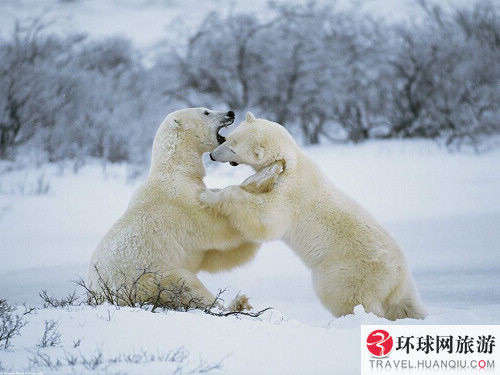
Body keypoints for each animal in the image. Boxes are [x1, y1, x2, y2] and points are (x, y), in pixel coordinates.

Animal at [90, 108, 260, 312]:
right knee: (185, 287)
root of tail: (98, 295)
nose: (230, 112)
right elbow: (217, 229)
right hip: (149, 278)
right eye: (206, 112)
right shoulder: (182, 205)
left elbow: (214, 255)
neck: (176, 170)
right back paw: (237, 303)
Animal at [201, 111, 428, 320]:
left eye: (233, 148)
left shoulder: (289, 194)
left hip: (347, 271)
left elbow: (266, 218)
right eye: (228, 138)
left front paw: (210, 196)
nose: (212, 155)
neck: (291, 162)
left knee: (344, 296)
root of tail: (398, 276)